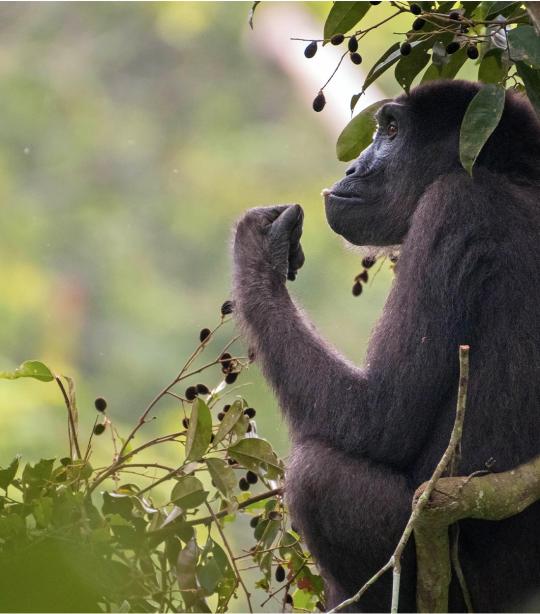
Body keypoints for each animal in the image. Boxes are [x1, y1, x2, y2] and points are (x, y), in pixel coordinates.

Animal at [231, 79, 540, 612]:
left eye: (392, 132)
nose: (352, 167)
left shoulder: (453, 206)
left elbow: (378, 419)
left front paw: (259, 252)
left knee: (317, 476)